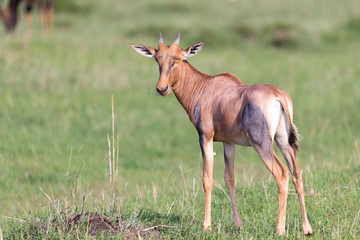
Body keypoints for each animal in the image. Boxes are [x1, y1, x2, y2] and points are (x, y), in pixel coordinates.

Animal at [130, 32, 312, 235]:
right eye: (157, 59)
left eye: (176, 59)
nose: (161, 88)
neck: (205, 86)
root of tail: (277, 95)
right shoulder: (228, 142)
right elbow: (230, 179)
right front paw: (237, 224)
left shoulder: (205, 137)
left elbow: (207, 179)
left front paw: (206, 225)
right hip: (283, 141)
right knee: (297, 173)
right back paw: (306, 228)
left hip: (262, 143)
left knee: (281, 174)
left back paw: (279, 229)